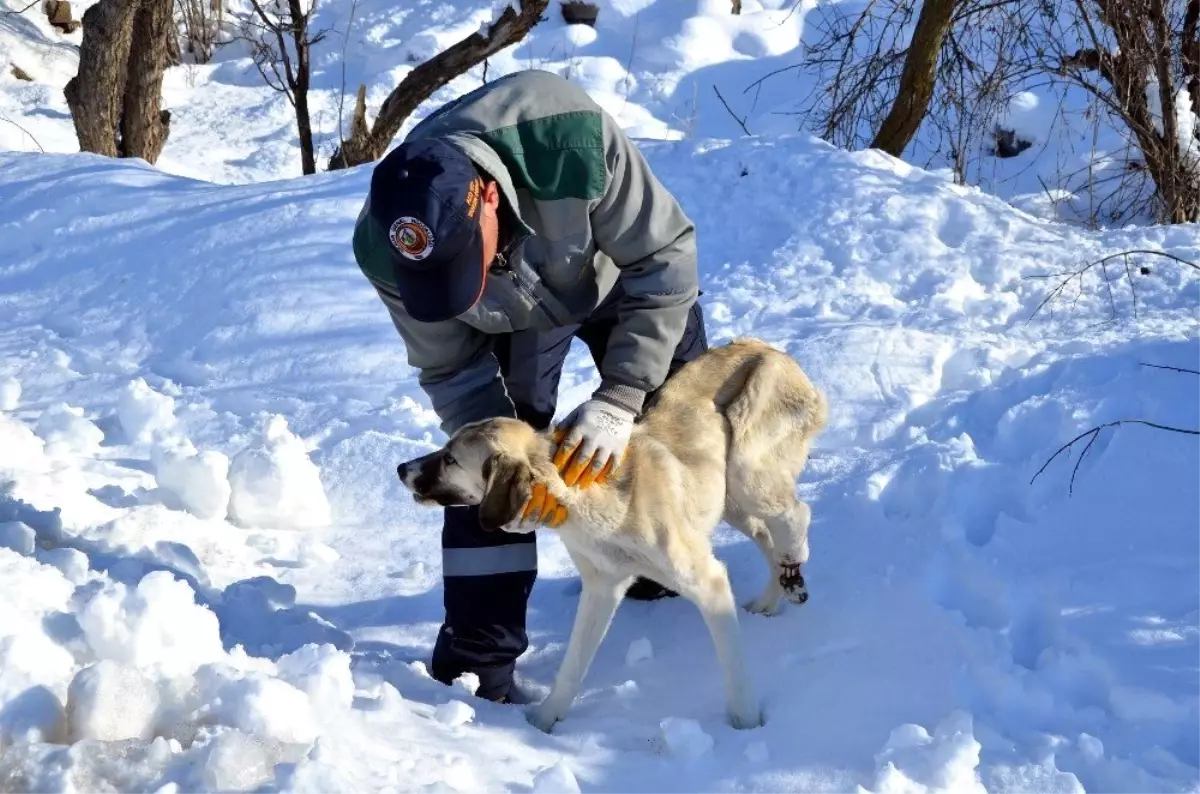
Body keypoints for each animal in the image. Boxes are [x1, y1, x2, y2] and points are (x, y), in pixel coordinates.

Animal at [398, 335, 830, 734]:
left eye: (451, 459)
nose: (402, 469)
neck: (586, 503)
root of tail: (766, 348)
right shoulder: (602, 586)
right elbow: (573, 665)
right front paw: (543, 720)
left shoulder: (708, 582)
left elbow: (733, 663)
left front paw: (746, 722)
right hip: (729, 500)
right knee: (766, 534)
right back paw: (774, 595)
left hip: (746, 472)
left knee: (795, 514)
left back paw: (794, 569)